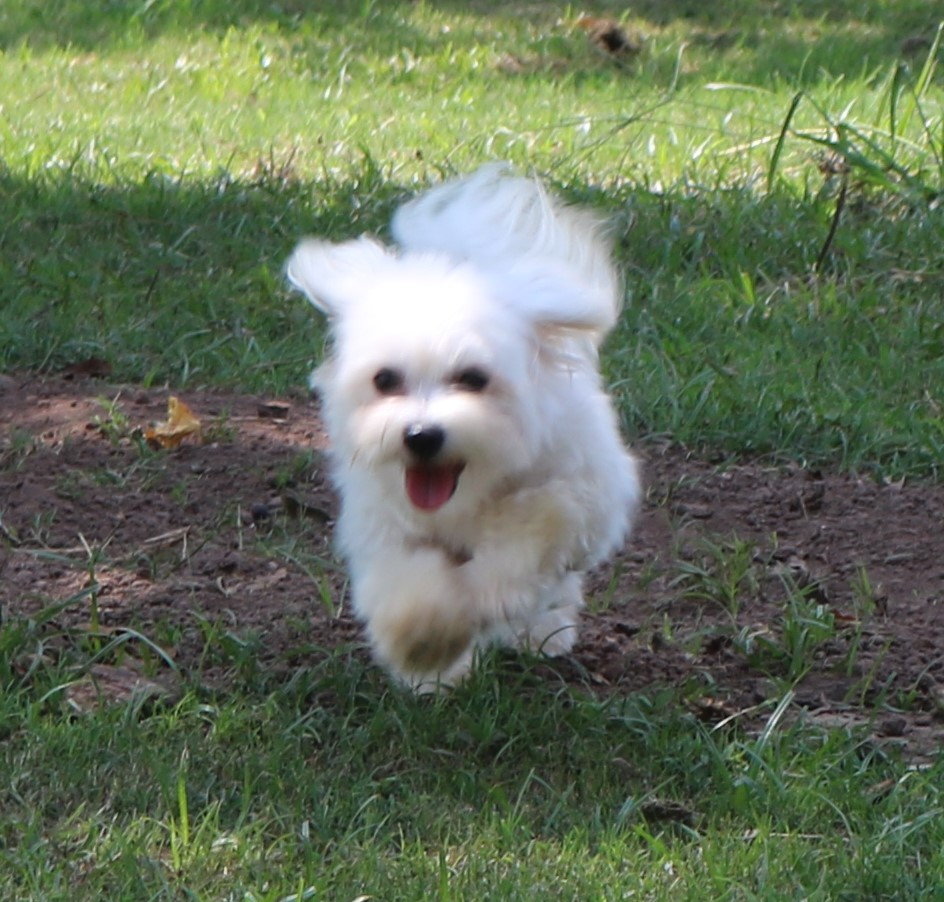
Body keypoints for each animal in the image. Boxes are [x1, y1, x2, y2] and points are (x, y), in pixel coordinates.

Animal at [288, 166, 640, 692]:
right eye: (384, 380)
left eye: (473, 378)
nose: (420, 434)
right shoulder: (385, 522)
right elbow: (406, 583)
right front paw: (423, 642)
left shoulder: (575, 495)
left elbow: (525, 539)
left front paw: (483, 602)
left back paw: (542, 633)